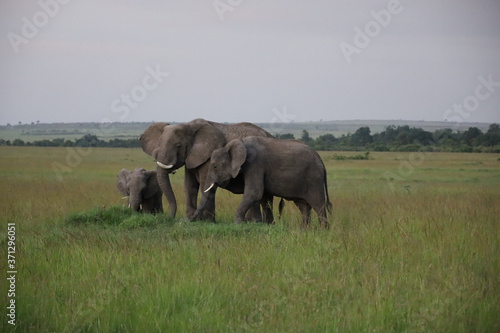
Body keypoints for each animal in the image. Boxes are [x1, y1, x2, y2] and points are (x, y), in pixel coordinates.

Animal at [139, 118, 276, 222]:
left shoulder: (209, 156)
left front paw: (207, 222)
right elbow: (189, 186)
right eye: (159, 144)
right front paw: (191, 218)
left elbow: (205, 185)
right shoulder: (192, 157)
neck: (188, 126)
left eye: (178, 146)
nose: (170, 217)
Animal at [203, 136, 332, 227]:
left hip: (314, 179)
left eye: (214, 166)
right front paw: (262, 224)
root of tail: (321, 161)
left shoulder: (255, 164)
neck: (240, 142)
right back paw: (304, 230)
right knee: (303, 206)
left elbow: (254, 193)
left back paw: (323, 230)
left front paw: (237, 224)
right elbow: (262, 197)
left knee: (318, 204)